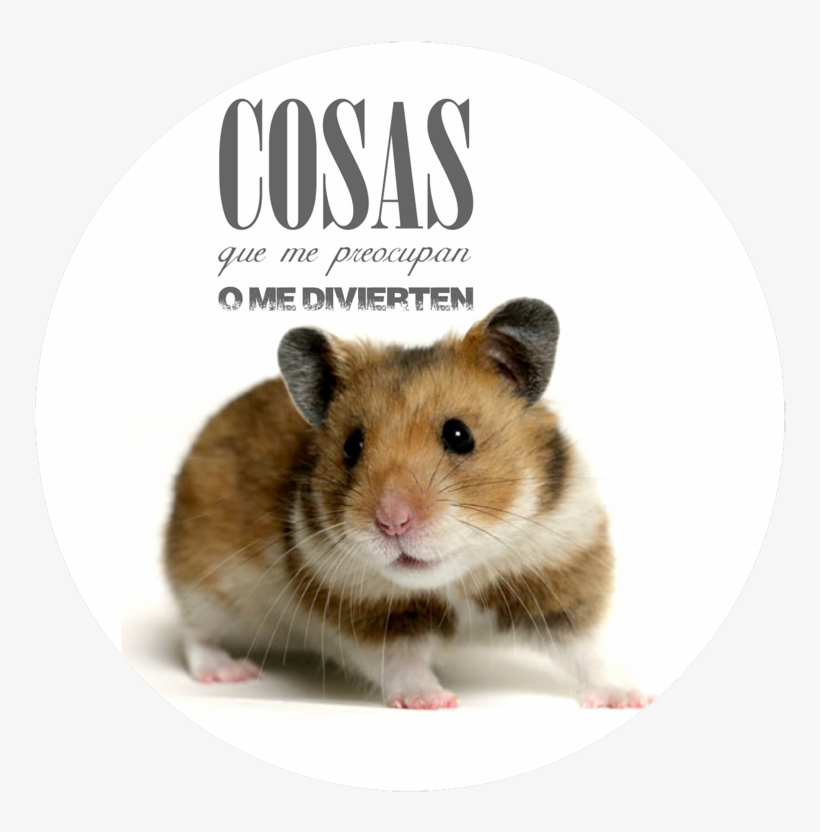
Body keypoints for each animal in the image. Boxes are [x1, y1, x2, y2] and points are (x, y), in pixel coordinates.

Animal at [164, 298, 653, 709]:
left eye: (459, 435)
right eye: (352, 446)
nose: (392, 523)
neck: (456, 578)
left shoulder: (560, 576)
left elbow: (587, 652)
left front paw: (628, 699)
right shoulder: (369, 616)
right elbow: (401, 663)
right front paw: (435, 702)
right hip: (205, 583)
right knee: (194, 634)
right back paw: (229, 672)